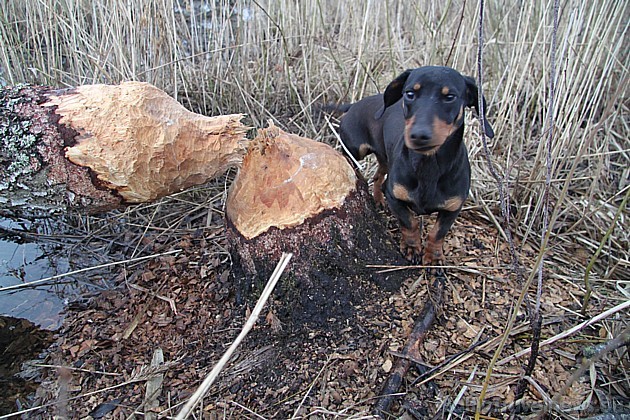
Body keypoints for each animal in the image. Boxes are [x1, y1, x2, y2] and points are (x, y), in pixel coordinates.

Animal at [338, 65, 496, 262]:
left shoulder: (453, 208)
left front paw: (433, 256)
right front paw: (412, 247)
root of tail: (353, 105)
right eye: (410, 93)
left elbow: (438, 232)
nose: (419, 135)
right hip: (355, 150)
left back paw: (378, 200)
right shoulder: (394, 196)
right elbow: (410, 222)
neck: (429, 166)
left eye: (450, 97)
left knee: (378, 176)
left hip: (384, 157)